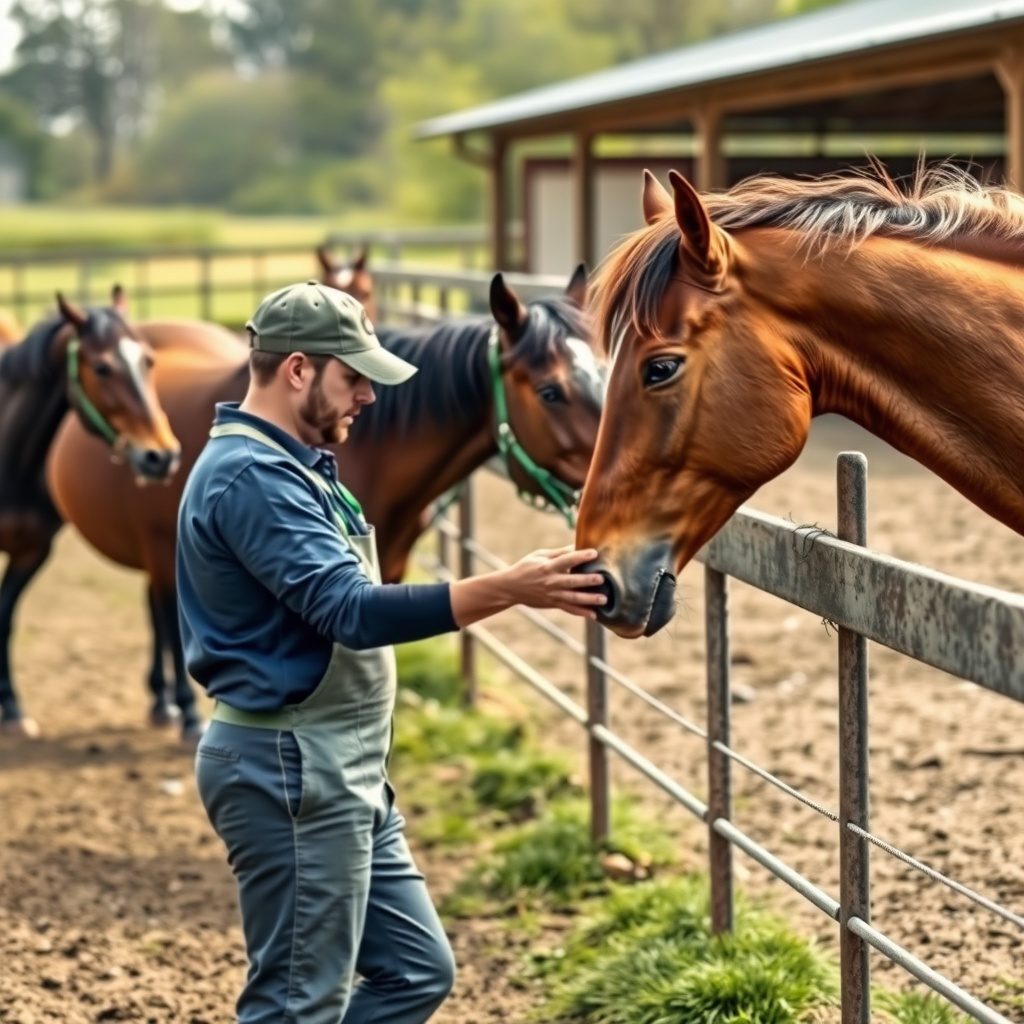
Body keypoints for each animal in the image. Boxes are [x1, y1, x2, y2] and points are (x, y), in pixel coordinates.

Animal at [0, 291, 180, 736]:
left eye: (149, 361)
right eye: (101, 367)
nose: (161, 456)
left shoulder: (32, 551)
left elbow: (5, 619)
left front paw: (11, 708)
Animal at [45, 266, 601, 735]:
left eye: (607, 373)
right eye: (551, 392)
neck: (373, 445)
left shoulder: (390, 568)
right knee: (164, 611)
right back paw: (178, 709)